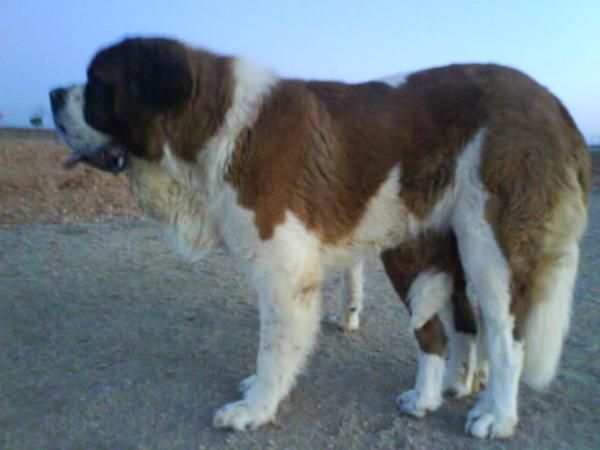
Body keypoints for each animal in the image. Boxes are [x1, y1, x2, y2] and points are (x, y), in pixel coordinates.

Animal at [48, 37, 592, 438]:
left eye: (96, 84)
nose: (53, 94)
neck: (215, 125)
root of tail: (555, 104)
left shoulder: (284, 268)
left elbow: (274, 345)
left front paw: (255, 408)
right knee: (463, 324)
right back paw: (457, 385)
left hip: (489, 245)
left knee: (504, 333)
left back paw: (494, 414)